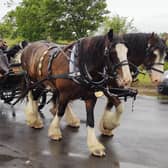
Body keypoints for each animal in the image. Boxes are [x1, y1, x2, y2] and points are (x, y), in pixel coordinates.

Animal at [20, 29, 133, 157]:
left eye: (127, 52)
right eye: (112, 52)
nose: (127, 80)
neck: (79, 67)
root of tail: (28, 45)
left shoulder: (91, 97)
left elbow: (91, 120)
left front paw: (95, 145)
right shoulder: (65, 93)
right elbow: (60, 111)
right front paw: (54, 132)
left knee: (36, 96)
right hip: (37, 82)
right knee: (33, 96)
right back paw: (34, 119)